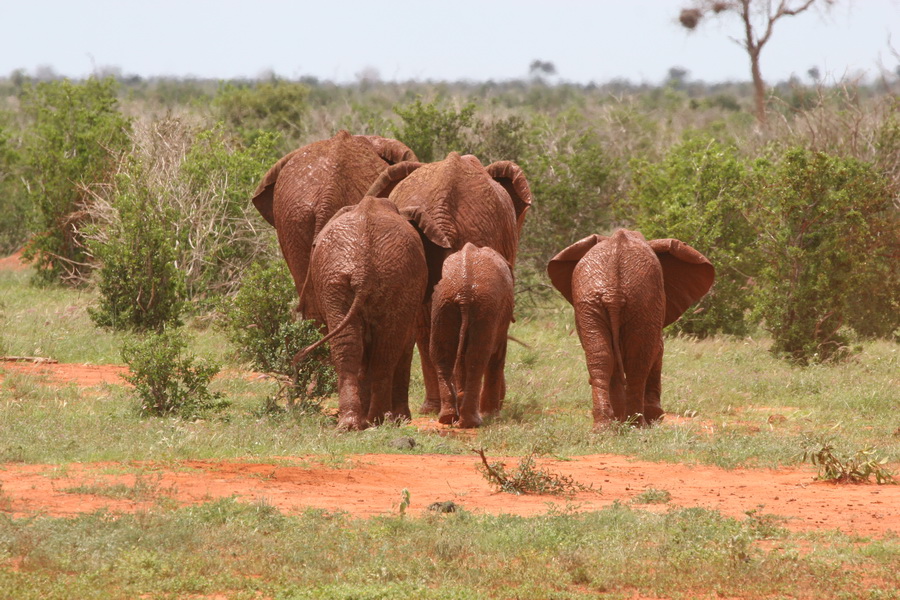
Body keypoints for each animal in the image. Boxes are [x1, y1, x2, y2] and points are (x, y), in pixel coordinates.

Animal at [298, 195, 448, 428]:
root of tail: (363, 268)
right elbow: (406, 343)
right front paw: (401, 420)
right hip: (392, 279)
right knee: (386, 348)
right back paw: (376, 419)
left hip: (336, 280)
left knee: (350, 345)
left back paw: (352, 424)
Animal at [430, 241, 512, 428]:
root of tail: (464, 293)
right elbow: (497, 354)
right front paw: (494, 416)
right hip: (485, 307)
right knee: (479, 357)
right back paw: (473, 422)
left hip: (442, 303)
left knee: (443, 355)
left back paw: (448, 418)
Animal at [544, 230, 712, 432]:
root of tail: (612, 292)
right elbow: (657, 351)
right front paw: (654, 418)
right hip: (641, 302)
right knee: (638, 362)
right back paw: (637, 426)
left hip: (592, 302)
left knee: (601, 357)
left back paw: (605, 428)